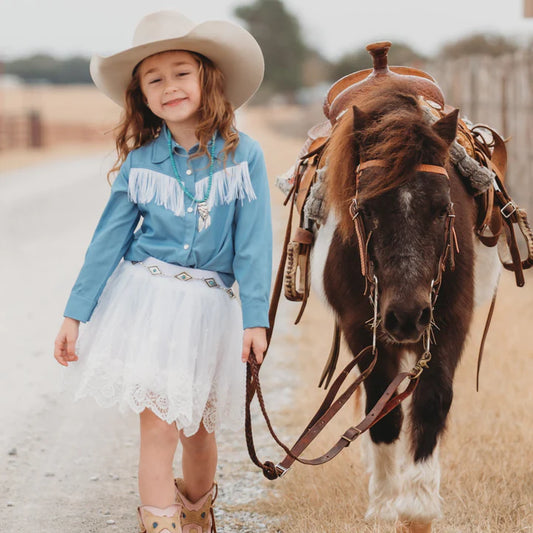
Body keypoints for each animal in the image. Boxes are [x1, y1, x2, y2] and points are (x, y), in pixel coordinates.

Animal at [310, 78, 500, 528]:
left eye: (443, 209)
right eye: (365, 208)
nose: (406, 316)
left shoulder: (450, 319)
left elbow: (432, 399)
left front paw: (418, 506)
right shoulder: (361, 327)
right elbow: (382, 408)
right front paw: (383, 505)